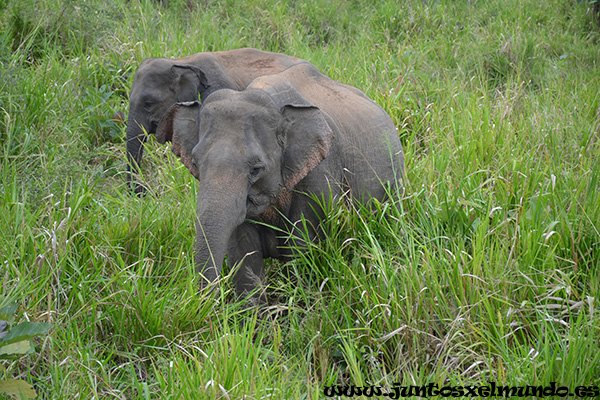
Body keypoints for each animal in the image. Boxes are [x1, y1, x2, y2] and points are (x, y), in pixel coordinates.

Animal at [157, 61, 406, 300]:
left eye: (256, 169)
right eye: (195, 163)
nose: (206, 303)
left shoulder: (320, 177)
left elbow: (301, 250)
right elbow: (243, 255)